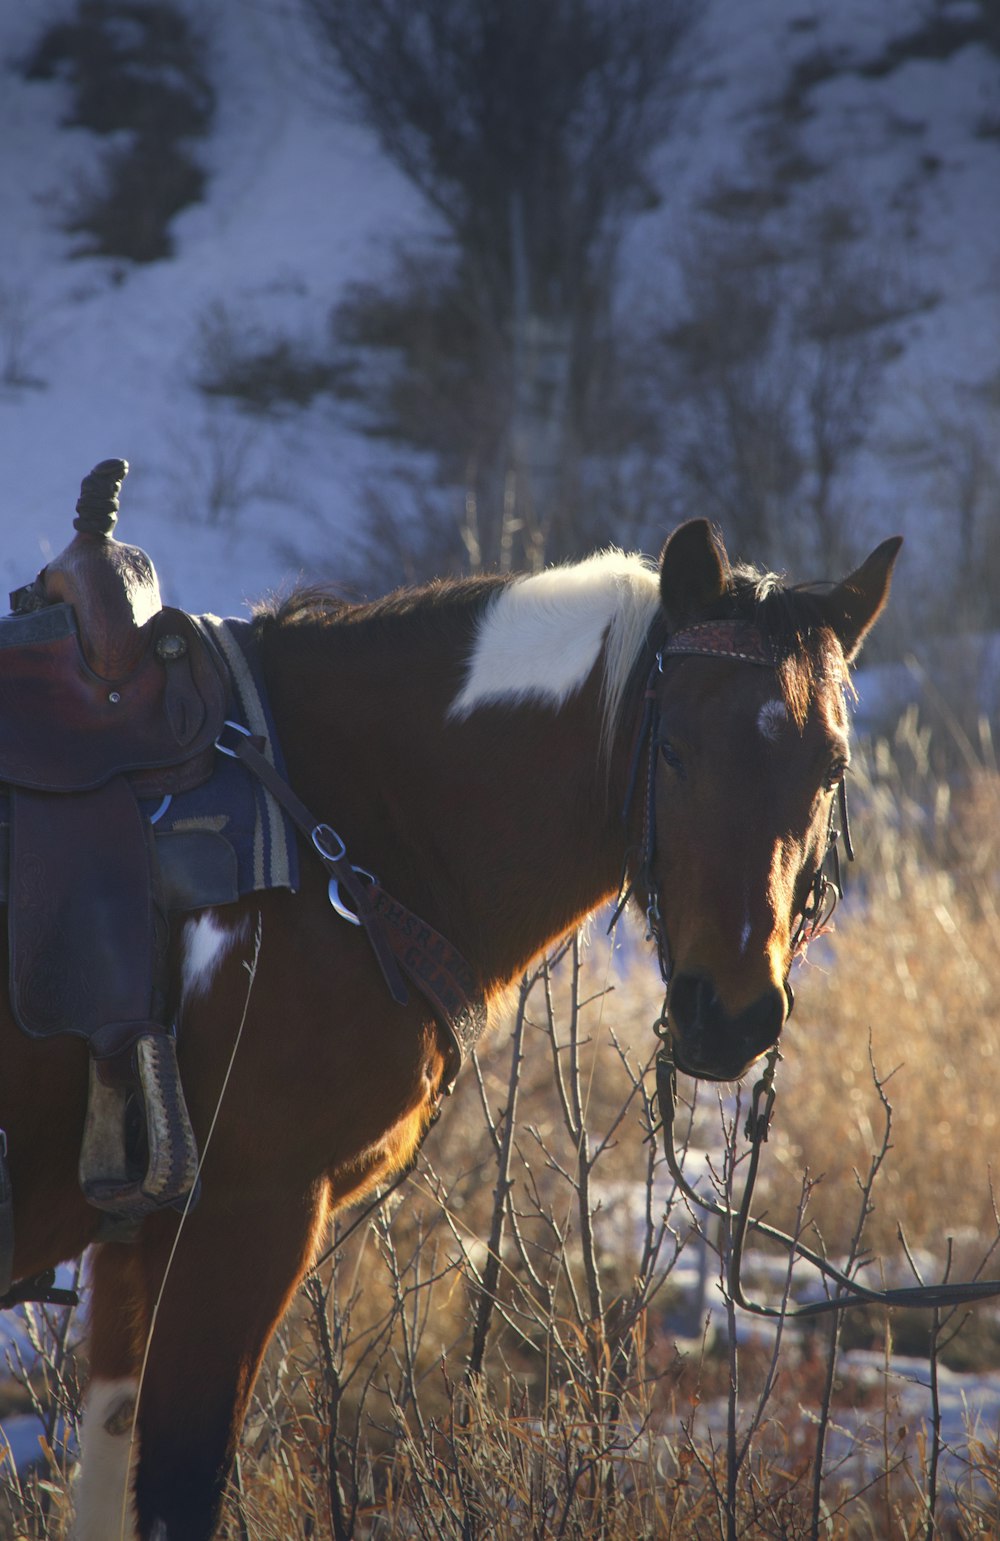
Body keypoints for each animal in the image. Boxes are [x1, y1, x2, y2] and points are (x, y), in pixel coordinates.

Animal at [0, 520, 899, 1541]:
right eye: (673, 749)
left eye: (831, 769)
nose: (731, 1013)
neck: (335, 818)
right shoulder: (238, 1215)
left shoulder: (133, 1250)